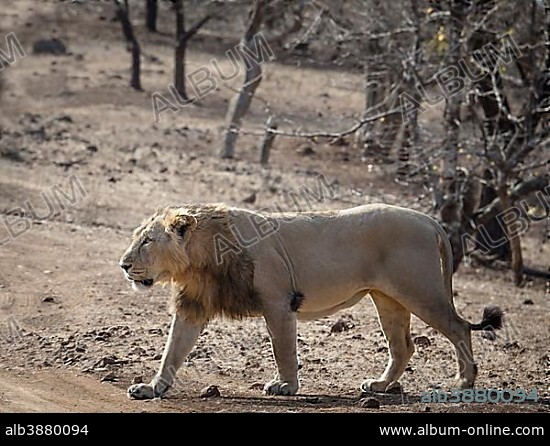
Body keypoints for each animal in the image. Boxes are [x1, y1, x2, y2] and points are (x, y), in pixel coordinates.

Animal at [119, 204, 504, 398]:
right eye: (137, 238)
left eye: (147, 241)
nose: (123, 265)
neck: (199, 258)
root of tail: (429, 220)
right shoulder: (193, 307)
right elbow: (173, 350)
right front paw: (152, 388)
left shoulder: (278, 302)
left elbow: (283, 349)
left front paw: (286, 386)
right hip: (388, 299)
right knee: (403, 347)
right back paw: (380, 386)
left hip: (419, 289)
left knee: (458, 327)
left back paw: (463, 383)